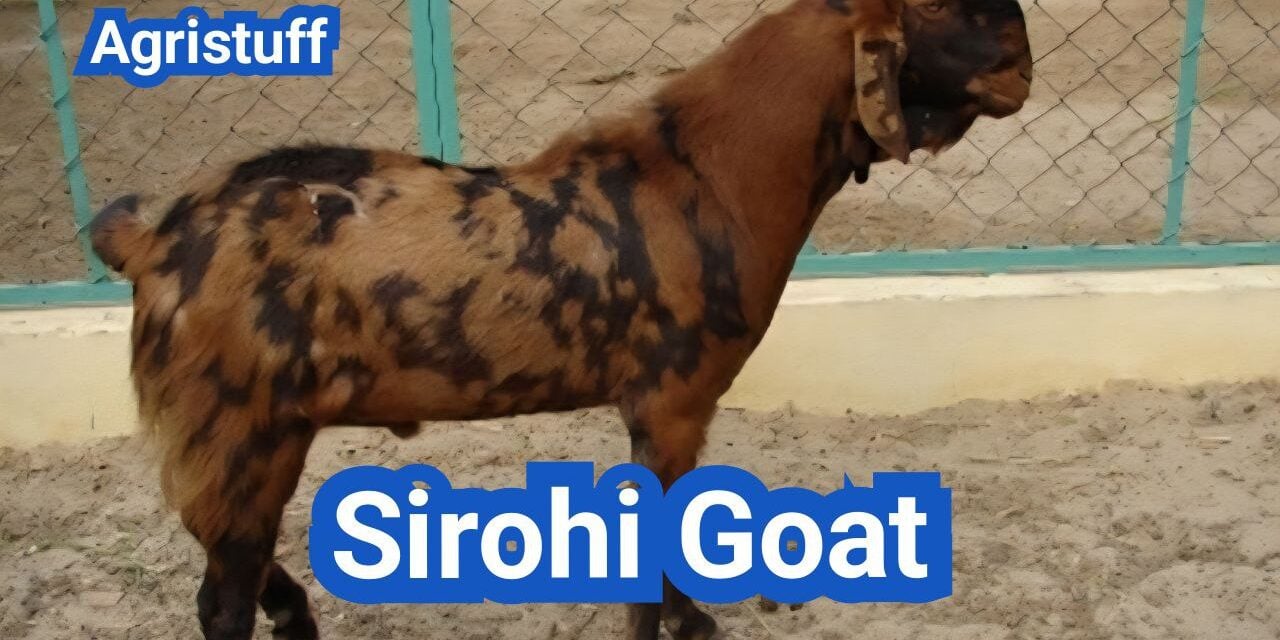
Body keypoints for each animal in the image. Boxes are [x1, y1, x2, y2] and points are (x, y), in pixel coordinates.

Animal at [89, 0, 1032, 637]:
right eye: (937, 11)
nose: (1023, 63)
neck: (703, 176)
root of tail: (153, 241)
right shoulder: (671, 401)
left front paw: (696, 622)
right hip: (242, 429)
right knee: (222, 595)